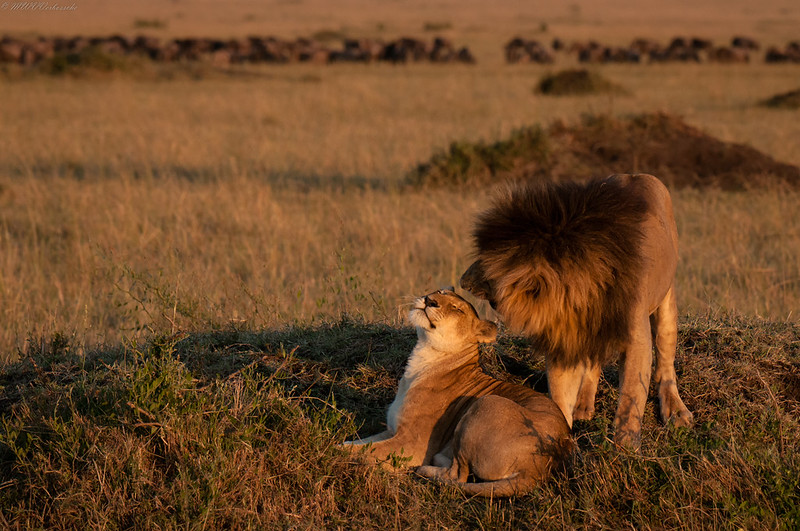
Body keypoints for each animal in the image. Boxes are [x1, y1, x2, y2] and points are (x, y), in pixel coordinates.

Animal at [344, 288, 568, 496]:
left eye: (457, 309)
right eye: (439, 292)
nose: (430, 300)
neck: (423, 356)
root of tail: (540, 469)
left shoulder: (411, 443)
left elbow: (364, 451)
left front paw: (337, 452)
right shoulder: (392, 429)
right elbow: (360, 443)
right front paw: (345, 442)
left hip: (486, 402)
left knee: (457, 475)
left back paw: (427, 468)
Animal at [462, 175, 692, 448]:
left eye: (483, 262)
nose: (463, 282)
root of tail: (640, 175)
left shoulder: (635, 340)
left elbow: (630, 398)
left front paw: (624, 449)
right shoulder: (564, 338)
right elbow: (561, 395)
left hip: (666, 302)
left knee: (665, 362)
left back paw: (676, 411)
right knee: (593, 364)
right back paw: (583, 404)